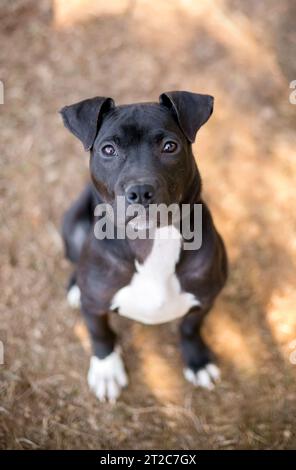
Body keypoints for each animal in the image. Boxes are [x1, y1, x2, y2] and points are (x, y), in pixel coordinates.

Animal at [59, 92, 227, 404]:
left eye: (170, 146)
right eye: (108, 149)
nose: (139, 191)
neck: (152, 240)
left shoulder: (206, 298)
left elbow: (190, 327)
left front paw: (197, 361)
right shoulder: (94, 306)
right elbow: (100, 333)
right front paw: (106, 370)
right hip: (72, 226)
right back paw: (76, 287)